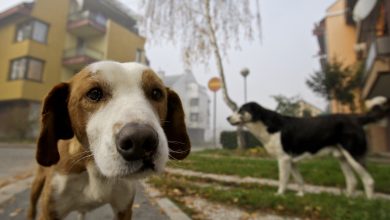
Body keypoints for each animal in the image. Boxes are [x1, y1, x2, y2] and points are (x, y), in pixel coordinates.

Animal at [27, 61, 190, 220]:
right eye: (94, 93)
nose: (141, 140)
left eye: (156, 93)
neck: (94, 167)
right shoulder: (49, 212)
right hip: (37, 183)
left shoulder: (124, 209)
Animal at [227, 97, 388, 199]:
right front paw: (300, 195)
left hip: (353, 156)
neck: (264, 124)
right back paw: (348, 200)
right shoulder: (291, 161)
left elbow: (283, 180)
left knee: (369, 180)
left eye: (241, 110)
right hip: (342, 158)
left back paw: (368, 202)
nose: (227, 118)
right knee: (352, 181)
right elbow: (299, 180)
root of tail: (356, 118)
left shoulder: (284, 159)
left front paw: (279, 195)